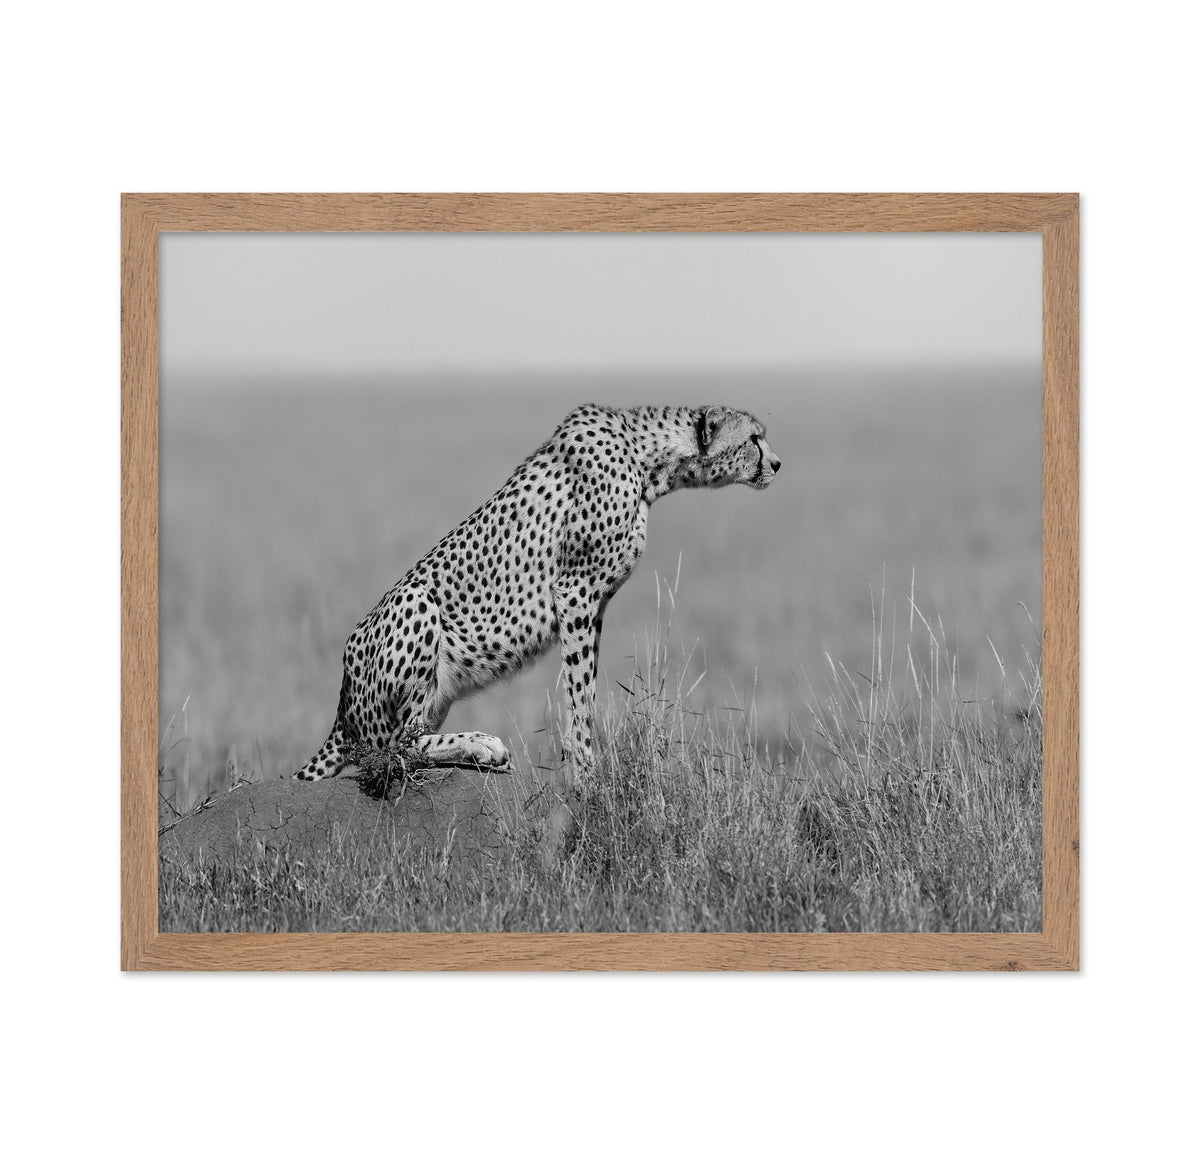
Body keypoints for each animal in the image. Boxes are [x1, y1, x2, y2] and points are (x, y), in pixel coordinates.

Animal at [292, 403, 781, 786]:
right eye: (754, 438)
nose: (777, 464)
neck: (648, 460)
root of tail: (342, 703)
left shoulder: (594, 603)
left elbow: (586, 687)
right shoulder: (576, 590)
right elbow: (579, 692)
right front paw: (585, 773)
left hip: (433, 694)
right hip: (416, 603)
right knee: (391, 750)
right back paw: (483, 745)